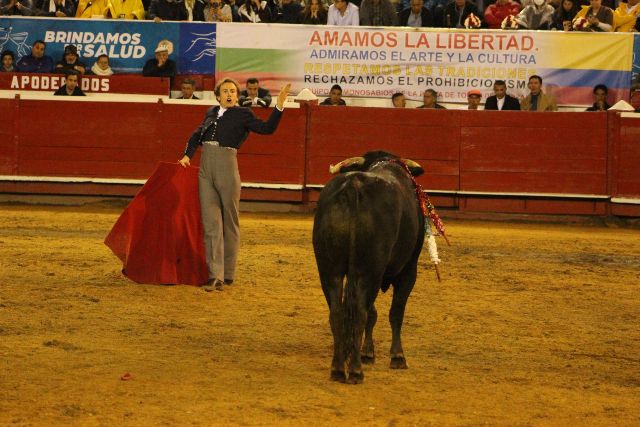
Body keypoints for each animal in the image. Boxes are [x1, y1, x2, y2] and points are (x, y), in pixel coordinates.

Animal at [314, 152, 428, 386]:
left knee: (337, 312)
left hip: (329, 270)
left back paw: (338, 368)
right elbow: (395, 312)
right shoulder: (408, 271)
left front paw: (367, 353)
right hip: (368, 271)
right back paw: (355, 371)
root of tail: (354, 186)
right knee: (360, 312)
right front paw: (397, 356)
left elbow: (373, 312)